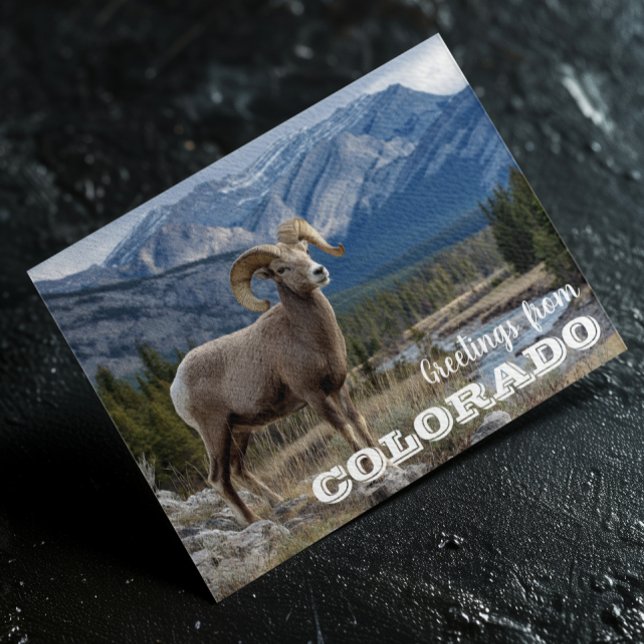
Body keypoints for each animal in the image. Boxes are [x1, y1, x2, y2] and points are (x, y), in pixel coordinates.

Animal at [170, 218, 376, 526]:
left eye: (305, 250)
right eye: (281, 269)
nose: (319, 271)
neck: (307, 337)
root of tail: (176, 387)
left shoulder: (339, 387)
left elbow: (357, 420)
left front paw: (385, 458)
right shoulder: (314, 396)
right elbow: (342, 427)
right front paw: (368, 467)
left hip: (240, 431)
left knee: (238, 469)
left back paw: (278, 502)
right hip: (216, 431)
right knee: (219, 478)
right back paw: (253, 520)